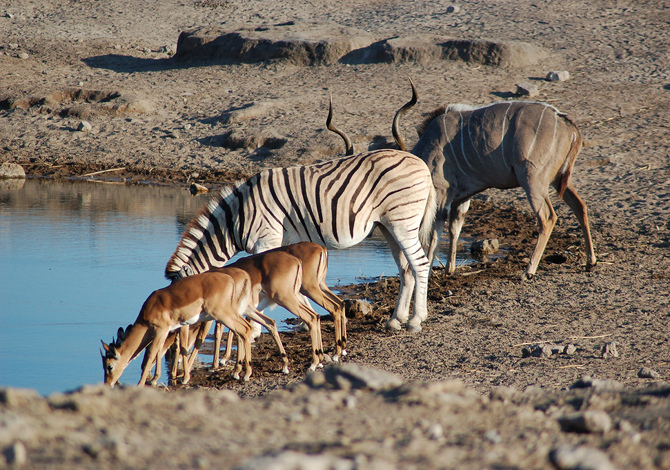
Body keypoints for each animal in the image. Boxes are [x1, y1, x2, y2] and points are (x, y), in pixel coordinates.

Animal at [167, 149, 438, 332]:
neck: (236, 219)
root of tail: (422, 164)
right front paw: (305, 319)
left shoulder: (267, 240)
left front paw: (256, 330)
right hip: (388, 226)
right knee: (406, 269)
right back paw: (396, 320)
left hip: (403, 222)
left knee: (420, 265)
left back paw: (416, 320)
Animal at [394, 81, 600, 280]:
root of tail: (567, 124)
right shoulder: (461, 198)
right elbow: (454, 229)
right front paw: (449, 270)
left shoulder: (443, 193)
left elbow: (435, 231)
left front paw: (429, 271)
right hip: (559, 180)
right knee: (580, 207)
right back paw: (590, 262)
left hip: (532, 181)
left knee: (548, 217)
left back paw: (528, 272)